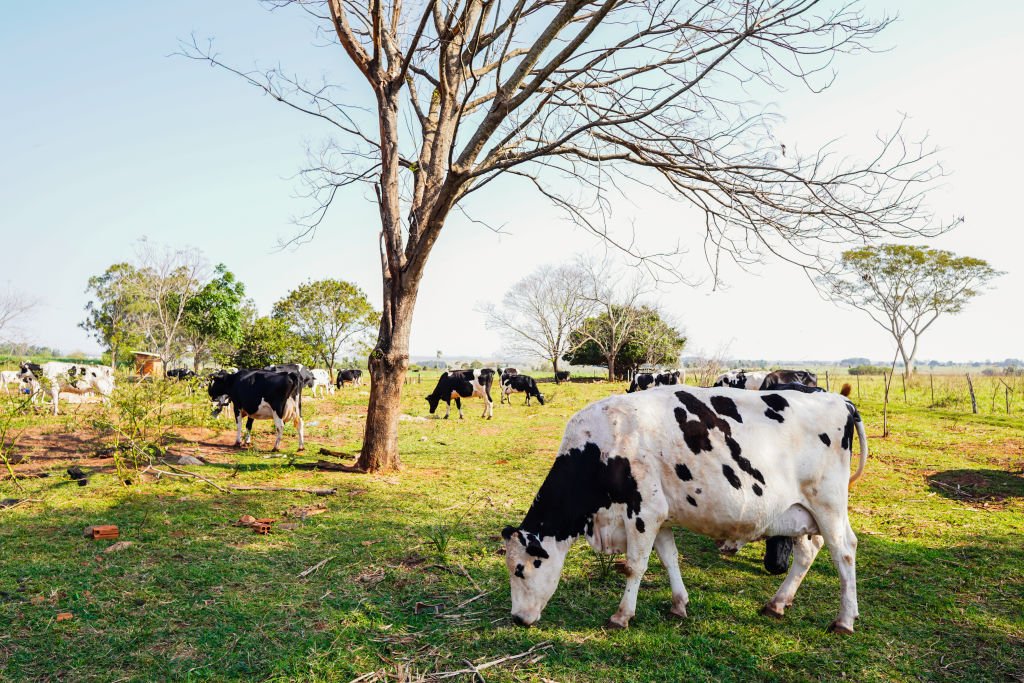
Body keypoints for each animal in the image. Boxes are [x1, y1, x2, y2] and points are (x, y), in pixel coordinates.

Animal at [499, 385, 868, 634]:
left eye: (520, 569)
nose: (517, 618)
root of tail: (841, 400)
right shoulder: (660, 515)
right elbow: (669, 559)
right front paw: (679, 604)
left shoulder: (643, 512)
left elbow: (634, 566)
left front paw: (622, 615)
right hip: (798, 512)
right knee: (808, 551)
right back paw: (777, 604)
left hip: (828, 503)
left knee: (844, 551)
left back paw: (844, 619)